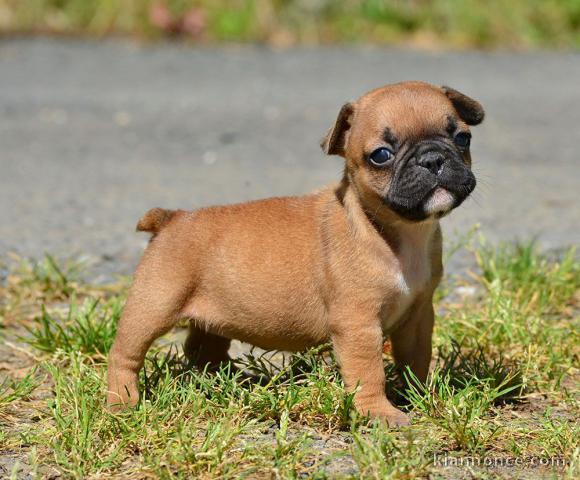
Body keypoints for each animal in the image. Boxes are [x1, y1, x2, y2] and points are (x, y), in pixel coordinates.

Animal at [106, 80, 482, 426]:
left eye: (463, 138)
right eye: (381, 155)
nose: (432, 159)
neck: (394, 230)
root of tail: (171, 217)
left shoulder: (418, 315)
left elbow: (416, 358)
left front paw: (420, 395)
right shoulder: (358, 325)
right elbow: (369, 371)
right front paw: (379, 413)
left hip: (211, 316)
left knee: (203, 350)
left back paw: (229, 383)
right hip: (154, 304)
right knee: (125, 354)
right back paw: (122, 403)